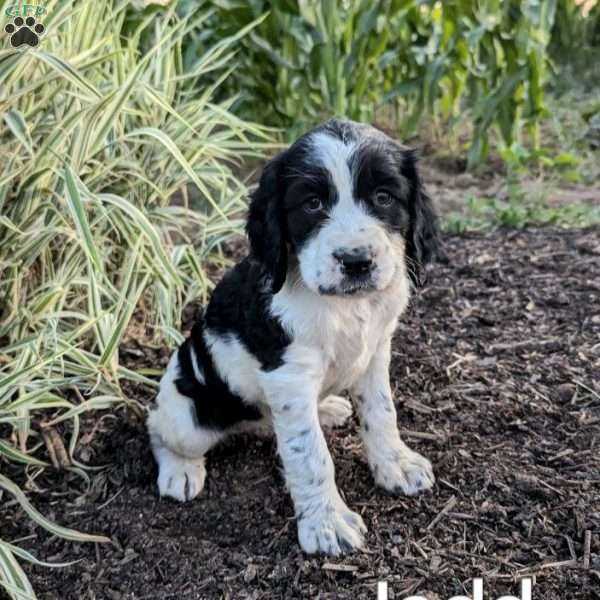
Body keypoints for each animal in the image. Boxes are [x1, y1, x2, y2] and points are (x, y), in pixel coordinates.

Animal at [147, 118, 440, 556]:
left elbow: (381, 412)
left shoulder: (375, 353)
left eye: (384, 197)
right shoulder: (288, 375)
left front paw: (396, 465)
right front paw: (327, 523)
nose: (356, 261)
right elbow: (311, 454)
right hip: (189, 418)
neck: (343, 307)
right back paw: (180, 470)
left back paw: (328, 408)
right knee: (159, 429)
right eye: (312, 204)